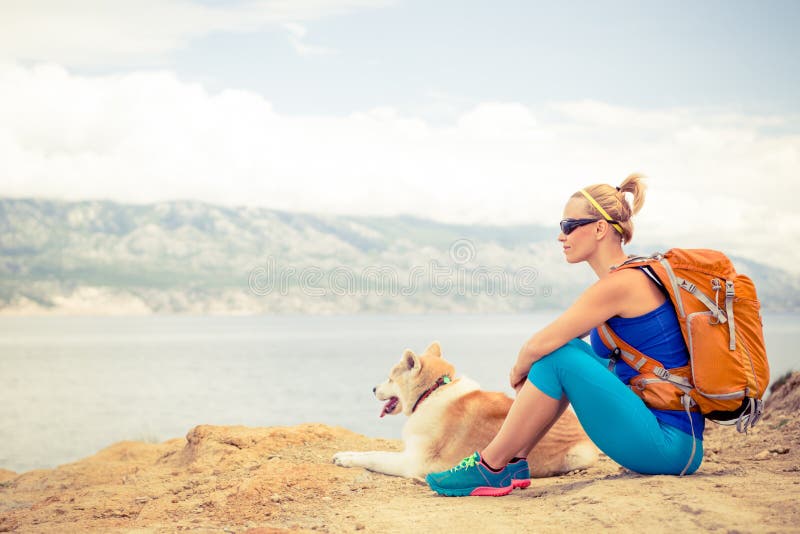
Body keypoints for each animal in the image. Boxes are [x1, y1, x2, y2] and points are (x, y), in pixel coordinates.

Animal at [328, 344, 596, 482]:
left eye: (390, 378)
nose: (373, 389)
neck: (433, 392)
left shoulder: (413, 462)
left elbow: (375, 457)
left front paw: (348, 460)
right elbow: (371, 451)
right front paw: (346, 453)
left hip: (577, 454)